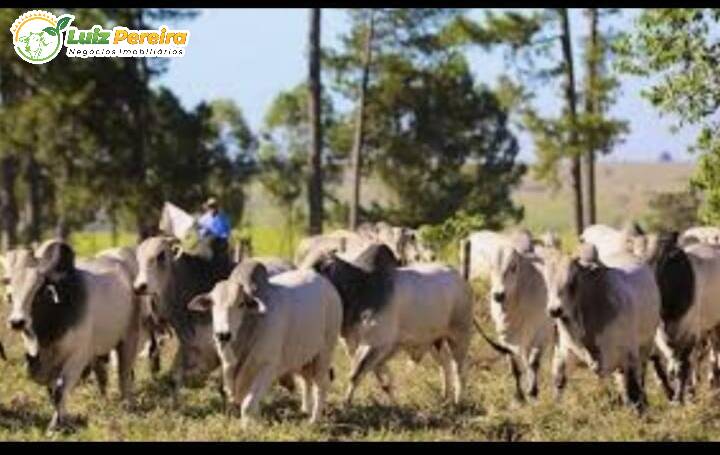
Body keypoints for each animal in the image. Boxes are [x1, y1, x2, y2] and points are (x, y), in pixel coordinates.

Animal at [5, 240, 143, 432]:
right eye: (11, 293)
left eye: (38, 291)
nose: (17, 322)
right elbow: (52, 392)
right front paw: (64, 420)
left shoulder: (78, 357)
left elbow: (60, 391)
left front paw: (56, 425)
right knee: (102, 376)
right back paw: (103, 401)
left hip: (129, 338)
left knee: (124, 375)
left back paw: (127, 405)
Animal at [186, 260, 344, 428]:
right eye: (213, 304)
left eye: (241, 304)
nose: (223, 335)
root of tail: (326, 284)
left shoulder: (268, 367)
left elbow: (248, 405)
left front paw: (247, 429)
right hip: (303, 357)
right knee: (306, 380)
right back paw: (305, 410)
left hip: (324, 353)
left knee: (321, 385)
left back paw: (314, 421)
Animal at [310, 246, 472, 406]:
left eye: (316, 267)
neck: (360, 288)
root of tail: (458, 277)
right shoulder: (355, 345)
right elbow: (382, 379)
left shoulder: (374, 344)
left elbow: (355, 375)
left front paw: (346, 403)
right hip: (434, 342)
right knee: (445, 364)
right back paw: (444, 397)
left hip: (460, 335)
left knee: (459, 369)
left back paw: (458, 401)